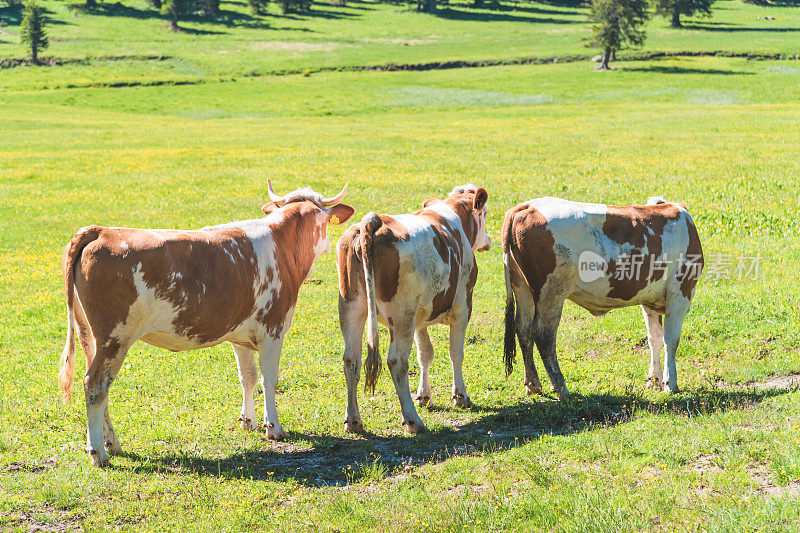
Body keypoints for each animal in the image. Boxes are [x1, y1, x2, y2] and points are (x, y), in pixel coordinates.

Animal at [58, 182, 354, 466]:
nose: (329, 244)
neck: (282, 242)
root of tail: (100, 231)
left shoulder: (241, 334)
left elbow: (247, 377)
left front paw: (248, 421)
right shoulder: (274, 328)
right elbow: (269, 379)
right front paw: (274, 428)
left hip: (90, 336)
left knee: (99, 386)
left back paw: (111, 444)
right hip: (114, 337)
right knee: (96, 386)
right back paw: (99, 453)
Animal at [336, 183, 490, 432]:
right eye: (484, 213)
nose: (487, 240)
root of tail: (373, 221)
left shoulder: (420, 317)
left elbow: (425, 353)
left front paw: (424, 395)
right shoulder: (463, 306)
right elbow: (455, 352)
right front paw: (460, 397)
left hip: (353, 308)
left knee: (352, 359)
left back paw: (353, 420)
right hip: (402, 314)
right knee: (397, 362)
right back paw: (412, 419)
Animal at [504, 194, 704, 394]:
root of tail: (527, 206)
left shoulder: (649, 300)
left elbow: (654, 338)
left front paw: (654, 380)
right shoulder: (680, 292)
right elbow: (671, 340)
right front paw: (671, 384)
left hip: (522, 287)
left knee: (523, 329)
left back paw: (533, 384)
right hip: (551, 291)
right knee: (543, 334)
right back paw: (560, 387)